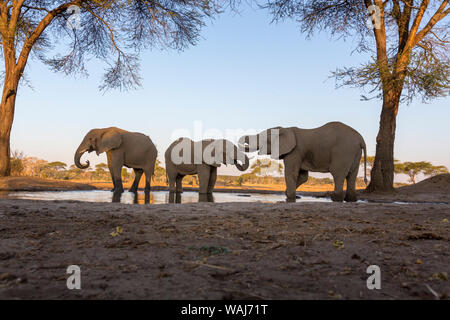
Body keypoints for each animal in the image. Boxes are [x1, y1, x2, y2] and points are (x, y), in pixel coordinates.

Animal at [237, 121, 368, 201]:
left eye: (264, 139)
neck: (285, 129)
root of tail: (360, 138)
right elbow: (303, 176)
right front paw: (289, 194)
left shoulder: (295, 151)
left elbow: (290, 173)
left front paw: (290, 198)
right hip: (355, 153)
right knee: (352, 176)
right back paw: (351, 200)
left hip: (343, 151)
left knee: (338, 175)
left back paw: (335, 199)